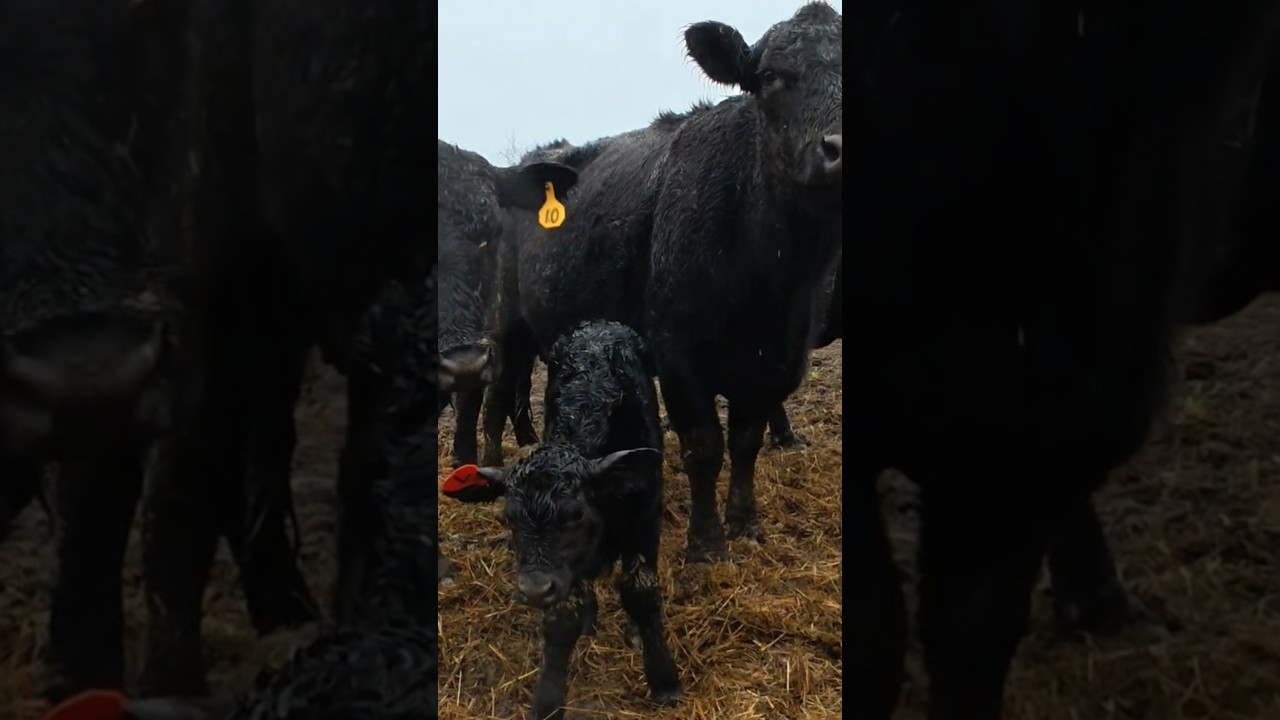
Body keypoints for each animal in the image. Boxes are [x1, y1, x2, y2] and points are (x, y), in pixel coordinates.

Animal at [443, 320, 681, 720]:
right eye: (509, 516)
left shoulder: (645, 521)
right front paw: (547, 701)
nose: (535, 589)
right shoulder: (562, 571)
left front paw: (664, 680)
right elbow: (562, 616)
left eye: (576, 513)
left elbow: (641, 592)